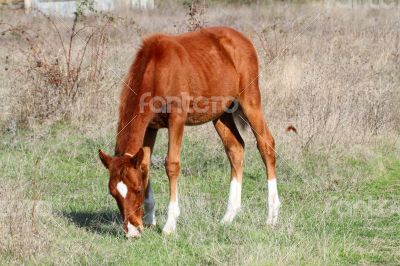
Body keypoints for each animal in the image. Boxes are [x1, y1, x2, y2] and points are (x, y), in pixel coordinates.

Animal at [98, 27, 280, 238]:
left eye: (136, 189)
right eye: (113, 193)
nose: (132, 231)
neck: (157, 71)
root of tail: (243, 38)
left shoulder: (177, 119)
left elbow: (172, 164)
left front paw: (169, 225)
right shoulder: (150, 126)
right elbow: (145, 165)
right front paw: (150, 219)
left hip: (250, 100)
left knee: (266, 144)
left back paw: (272, 216)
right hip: (221, 113)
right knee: (235, 149)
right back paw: (228, 216)